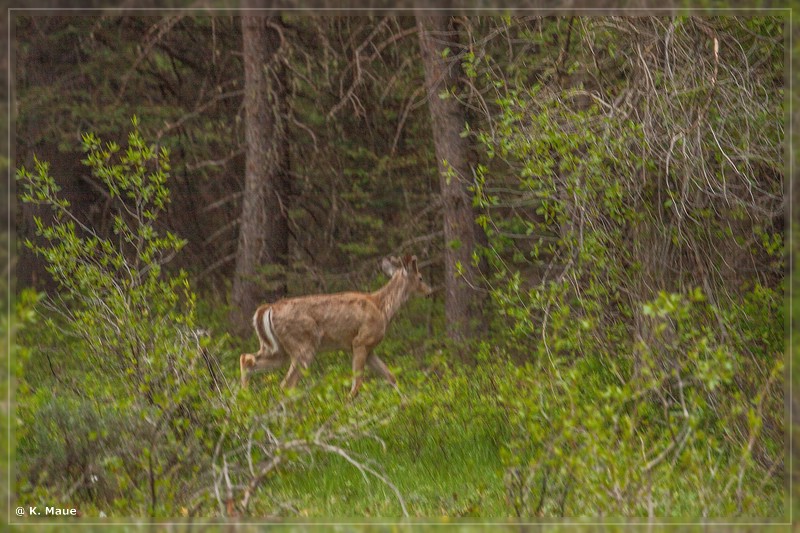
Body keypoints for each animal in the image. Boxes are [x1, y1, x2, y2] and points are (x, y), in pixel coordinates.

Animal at [241, 256, 434, 396]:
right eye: (421, 277)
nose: (430, 292)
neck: (382, 308)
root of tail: (269, 308)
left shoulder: (369, 348)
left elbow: (391, 376)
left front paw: (405, 402)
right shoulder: (361, 341)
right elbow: (357, 384)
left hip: (278, 349)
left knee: (247, 359)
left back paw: (245, 400)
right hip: (303, 346)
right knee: (286, 384)